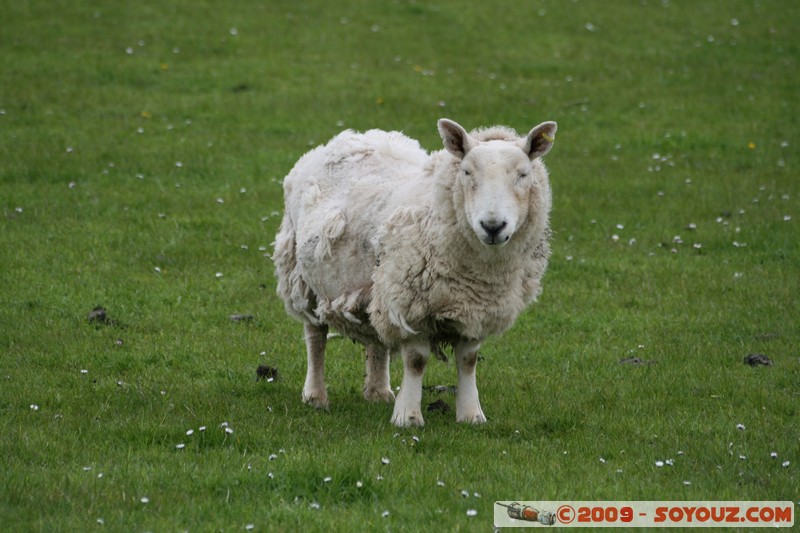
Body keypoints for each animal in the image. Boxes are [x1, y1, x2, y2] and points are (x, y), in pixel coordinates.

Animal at [273, 118, 557, 427]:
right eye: (467, 171)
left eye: (523, 174)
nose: (493, 226)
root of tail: (350, 137)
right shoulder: (410, 305)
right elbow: (416, 361)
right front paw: (407, 416)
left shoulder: (474, 308)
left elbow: (468, 361)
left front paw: (471, 414)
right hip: (303, 278)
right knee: (315, 335)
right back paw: (315, 395)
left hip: (378, 284)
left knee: (376, 336)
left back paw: (378, 392)